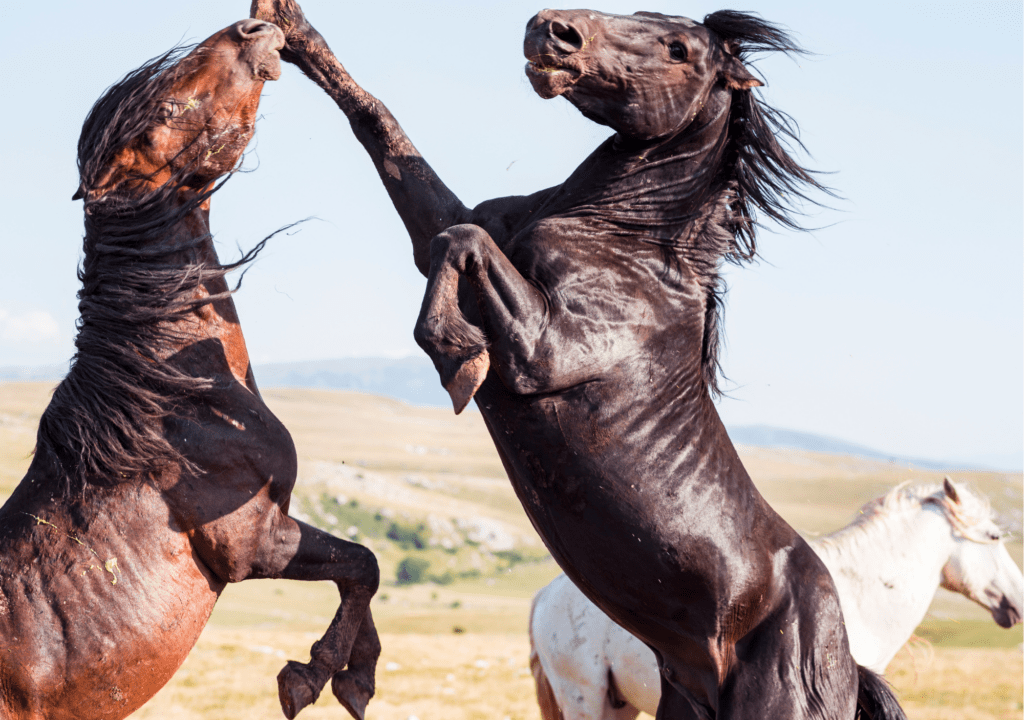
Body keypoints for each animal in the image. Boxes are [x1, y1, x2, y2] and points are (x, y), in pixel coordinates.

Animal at [0, 16, 380, 720]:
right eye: (165, 114)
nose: (254, 28)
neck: (170, 402)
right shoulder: (253, 542)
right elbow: (362, 564)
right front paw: (312, 675)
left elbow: (361, 573)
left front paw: (356, 675)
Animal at [258, 2, 913, 716]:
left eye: (679, 48)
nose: (551, 28)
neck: (624, 238)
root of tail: (846, 661)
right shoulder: (458, 232)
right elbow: (393, 145)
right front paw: (290, 29)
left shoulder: (542, 350)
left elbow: (461, 240)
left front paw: (457, 356)